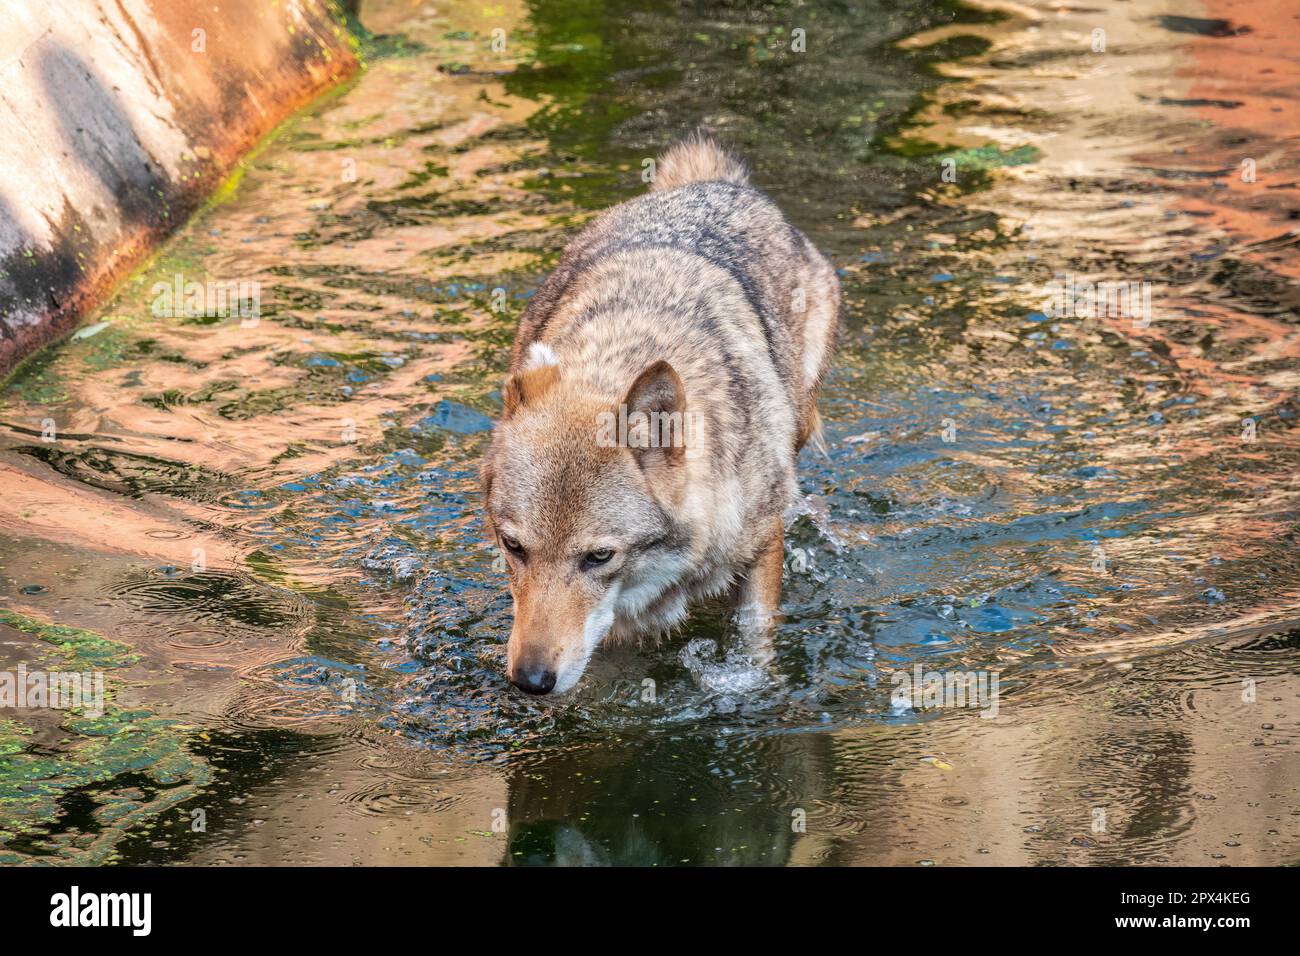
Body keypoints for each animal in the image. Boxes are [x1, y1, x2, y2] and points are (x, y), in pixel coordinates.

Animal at [480, 133, 839, 694]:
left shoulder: (762, 541)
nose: (531, 680)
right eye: (513, 547)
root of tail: (710, 184)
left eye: (599, 557)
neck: (621, 355)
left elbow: (754, 635)